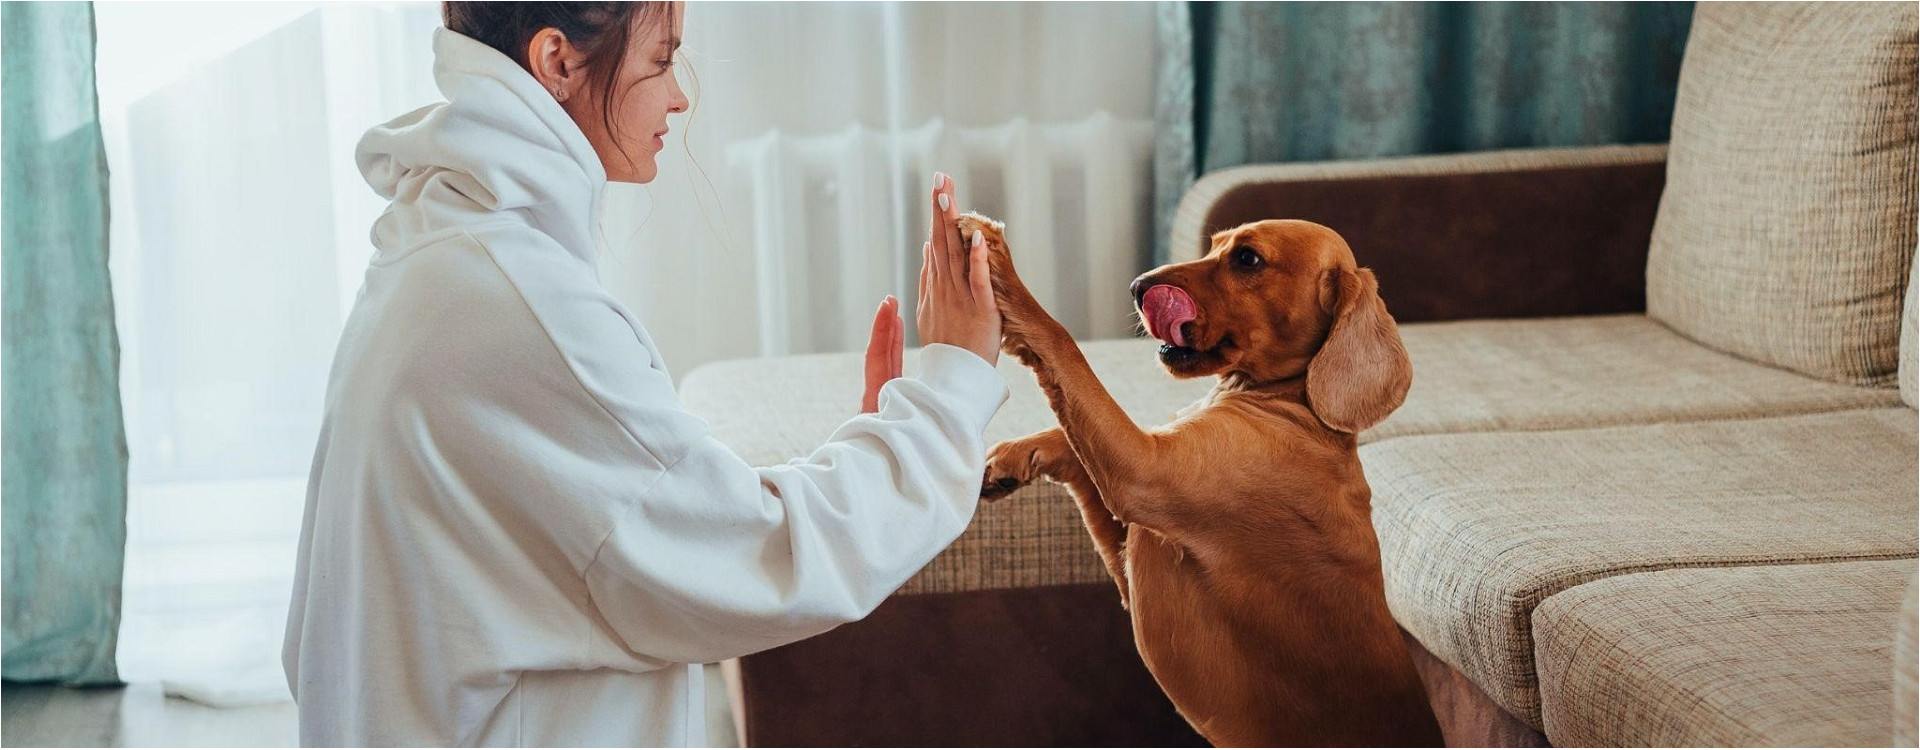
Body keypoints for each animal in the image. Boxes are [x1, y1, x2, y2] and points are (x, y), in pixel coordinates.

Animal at [975, 214, 1443, 748]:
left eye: (1247, 258)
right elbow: (1068, 438)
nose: (1137, 286)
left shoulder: (1142, 472)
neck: (1295, 406)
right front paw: (1012, 458)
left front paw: (999, 268)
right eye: (1214, 245)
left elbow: (1061, 344)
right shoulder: (1129, 551)